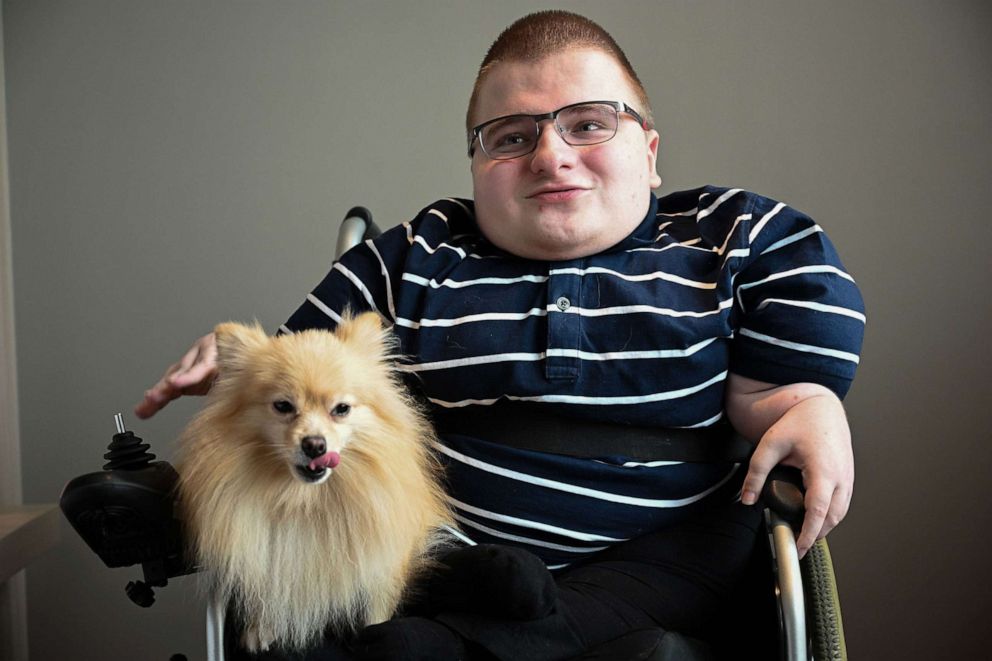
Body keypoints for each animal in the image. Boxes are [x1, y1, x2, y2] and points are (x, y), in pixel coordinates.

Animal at [177, 312, 454, 652]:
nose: (315, 445)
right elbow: (273, 590)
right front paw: (261, 629)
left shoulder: (380, 561)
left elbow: (376, 606)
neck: (307, 498)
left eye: (341, 409)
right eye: (283, 406)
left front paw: (374, 629)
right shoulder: (271, 554)